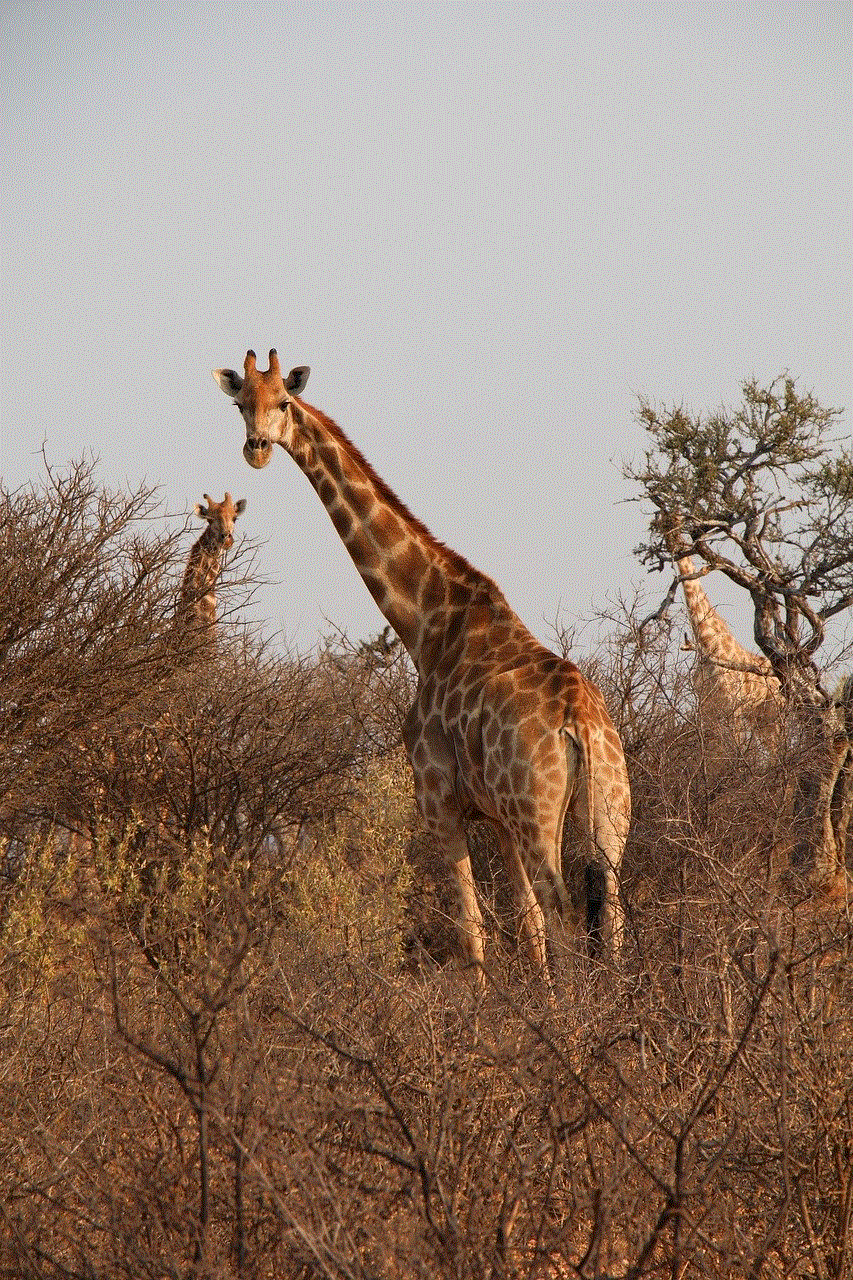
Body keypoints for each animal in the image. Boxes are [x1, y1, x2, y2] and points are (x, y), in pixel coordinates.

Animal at [212, 350, 630, 988]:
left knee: (564, 913)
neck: (425, 625)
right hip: (608, 808)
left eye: (282, 400)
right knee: (608, 912)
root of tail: (581, 724)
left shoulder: (438, 799)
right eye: (240, 404)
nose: (256, 448)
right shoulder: (497, 815)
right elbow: (524, 925)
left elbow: (472, 927)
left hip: (540, 813)